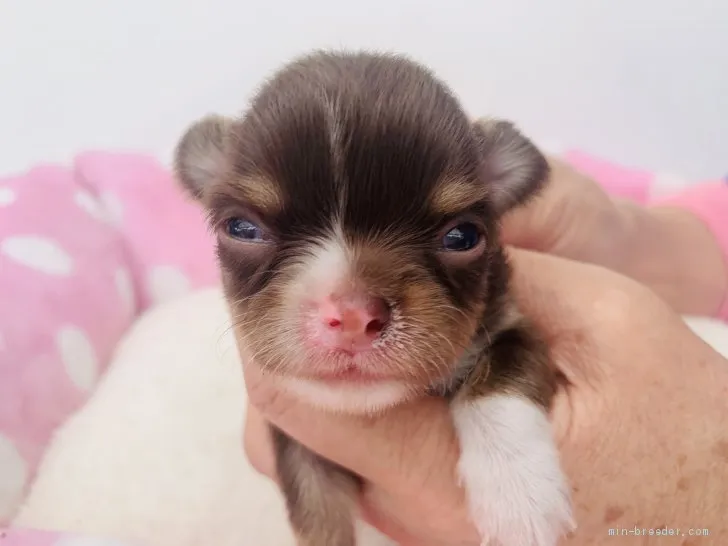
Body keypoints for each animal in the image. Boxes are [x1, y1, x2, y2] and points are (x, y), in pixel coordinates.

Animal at [172, 51, 576, 544]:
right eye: (242, 228)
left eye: (463, 236)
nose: (351, 316)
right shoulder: (298, 438)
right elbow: (316, 506)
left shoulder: (513, 324)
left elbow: (500, 379)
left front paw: (521, 497)